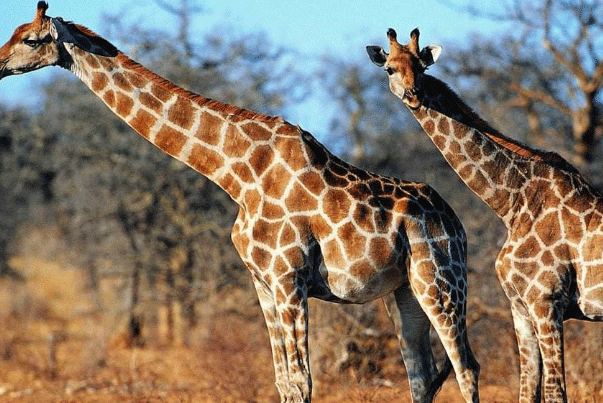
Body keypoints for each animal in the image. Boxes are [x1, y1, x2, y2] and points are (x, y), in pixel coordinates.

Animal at [0, 3, 482, 403]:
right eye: (15, 31)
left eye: (32, 39)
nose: (0, 63)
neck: (237, 172)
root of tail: (457, 223)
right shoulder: (262, 282)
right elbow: (284, 382)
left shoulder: (289, 279)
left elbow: (303, 382)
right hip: (403, 290)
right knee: (421, 377)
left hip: (441, 282)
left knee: (466, 367)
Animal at [366, 26, 603, 402]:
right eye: (390, 68)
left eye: (422, 67)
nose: (414, 95)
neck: (512, 202)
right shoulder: (521, 308)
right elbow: (527, 389)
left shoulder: (546, 302)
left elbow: (555, 391)